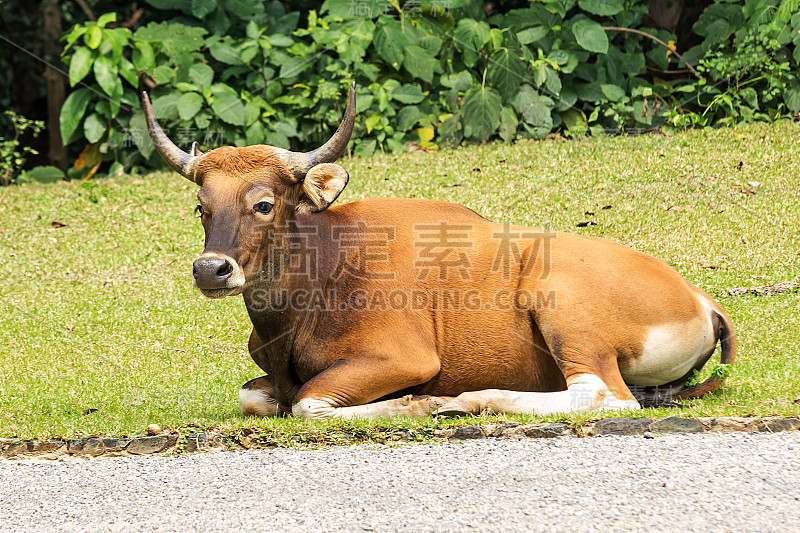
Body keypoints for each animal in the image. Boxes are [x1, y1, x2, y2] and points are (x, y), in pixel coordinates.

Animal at [141, 83, 736, 418]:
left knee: (602, 395)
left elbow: (308, 403)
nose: (211, 270)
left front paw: (414, 402)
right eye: (201, 206)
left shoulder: (402, 357)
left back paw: (471, 399)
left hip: (564, 304)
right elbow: (255, 396)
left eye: (263, 203)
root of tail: (702, 300)